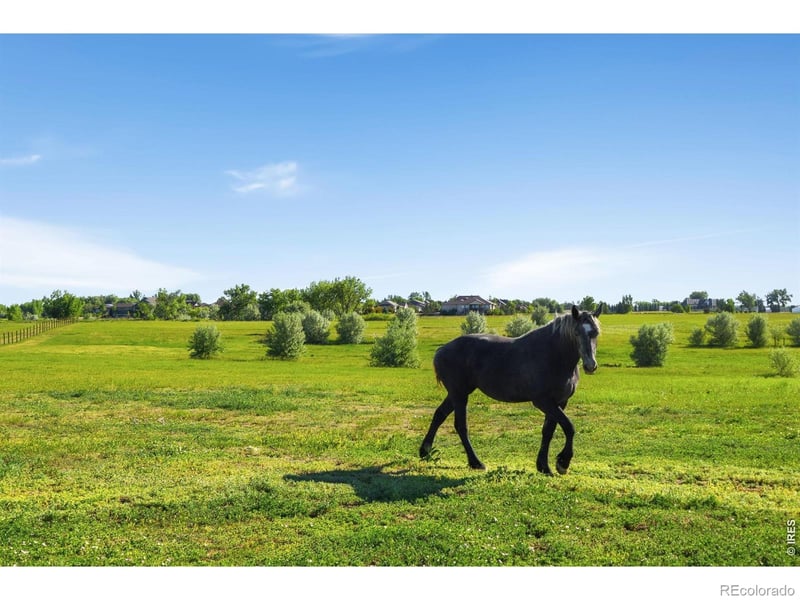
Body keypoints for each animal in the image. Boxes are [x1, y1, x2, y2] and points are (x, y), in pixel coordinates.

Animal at [419, 305, 601, 475]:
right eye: (576, 332)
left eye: (596, 333)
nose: (590, 366)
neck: (553, 356)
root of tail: (441, 350)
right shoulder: (543, 402)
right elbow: (569, 427)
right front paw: (563, 462)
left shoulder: (560, 402)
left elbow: (548, 431)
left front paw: (543, 466)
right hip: (459, 395)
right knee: (461, 426)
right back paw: (475, 462)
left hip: (457, 393)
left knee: (439, 415)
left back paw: (425, 451)